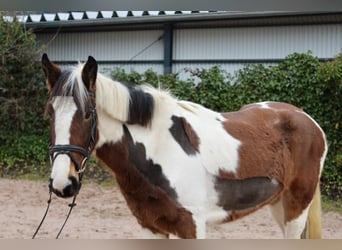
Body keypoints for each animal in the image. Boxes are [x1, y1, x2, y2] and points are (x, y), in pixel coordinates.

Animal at [41, 53, 328, 239]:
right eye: (49, 113)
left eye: (88, 114)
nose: (63, 183)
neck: (161, 148)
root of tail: (307, 119)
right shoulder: (151, 227)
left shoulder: (191, 227)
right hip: (279, 203)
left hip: (297, 207)